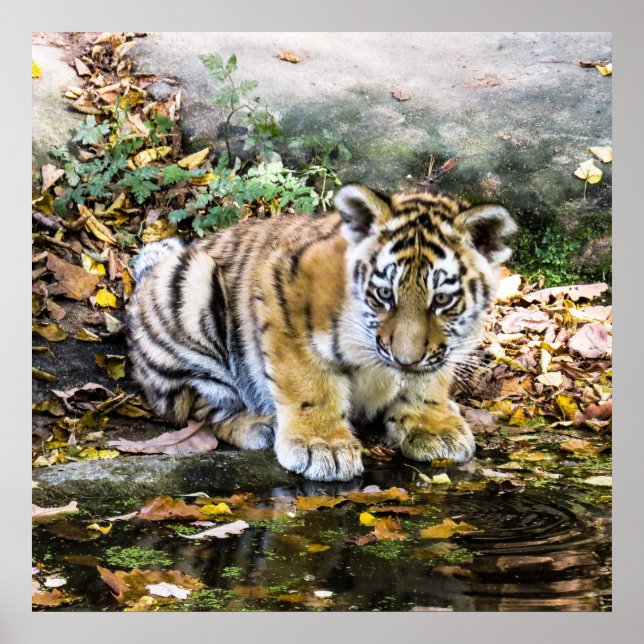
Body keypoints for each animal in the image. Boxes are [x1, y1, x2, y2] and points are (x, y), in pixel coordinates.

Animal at [126, 184, 516, 482]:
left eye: (442, 300)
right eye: (384, 294)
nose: (405, 359)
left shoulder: (443, 348)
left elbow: (428, 380)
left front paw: (432, 426)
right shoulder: (282, 293)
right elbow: (309, 383)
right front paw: (323, 447)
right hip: (191, 284)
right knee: (199, 407)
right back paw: (260, 425)